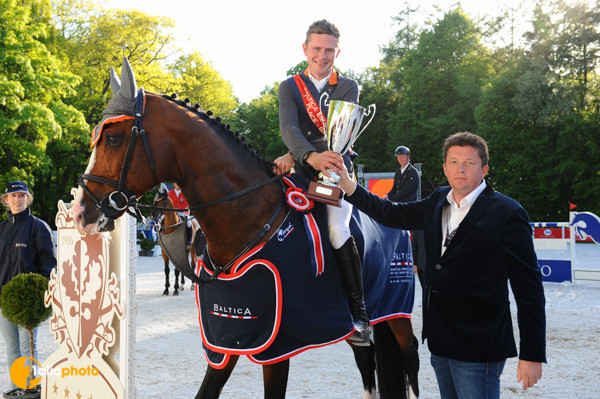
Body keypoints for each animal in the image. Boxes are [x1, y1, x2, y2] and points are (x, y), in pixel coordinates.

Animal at [71, 57, 418, 398]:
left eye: (113, 138)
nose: (81, 212)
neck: (250, 217)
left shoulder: (276, 347)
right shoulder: (227, 339)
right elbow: (207, 390)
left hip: (395, 311)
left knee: (410, 352)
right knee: (365, 356)